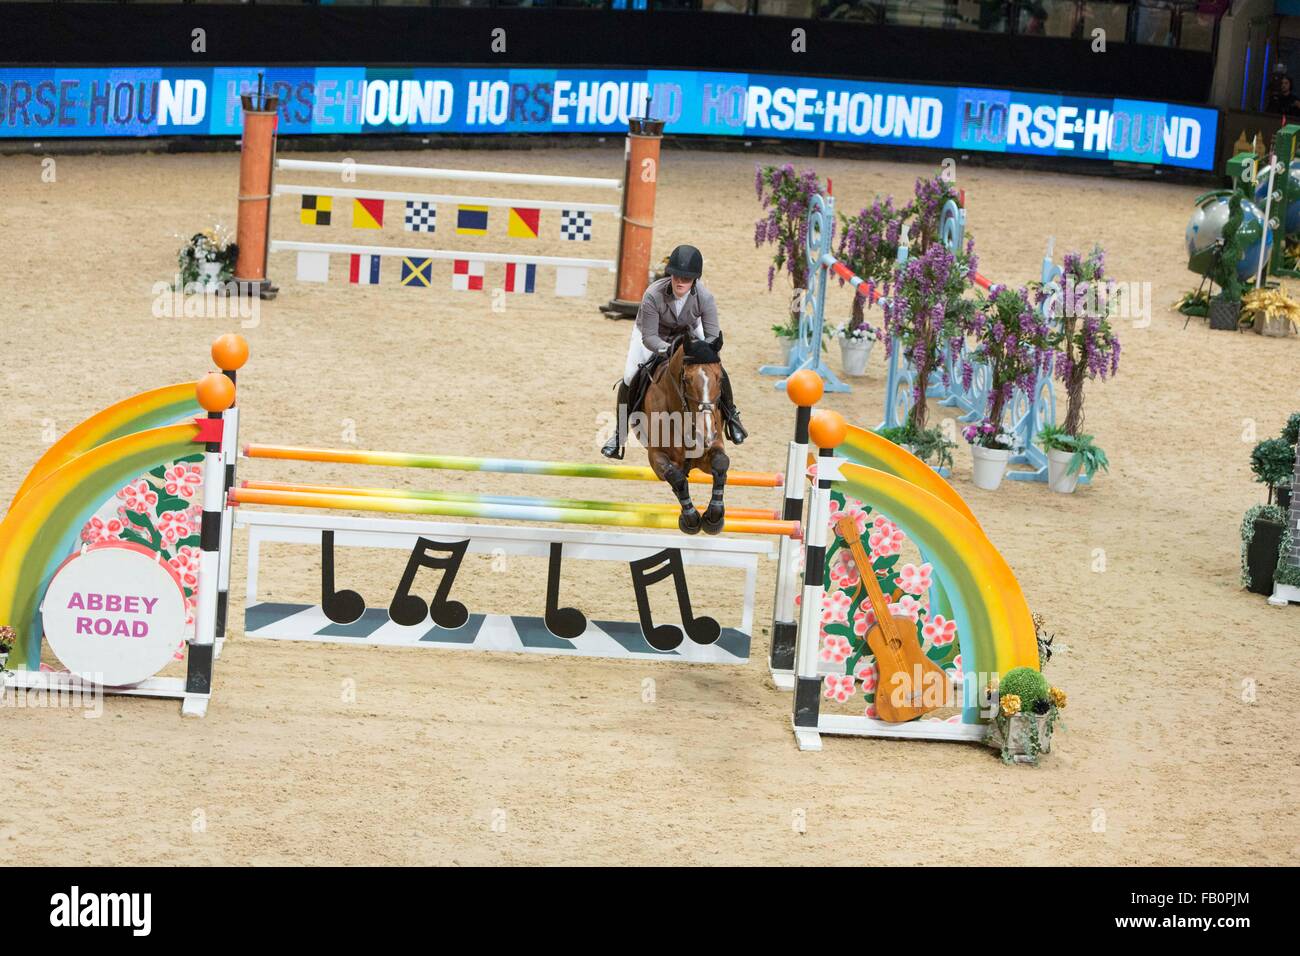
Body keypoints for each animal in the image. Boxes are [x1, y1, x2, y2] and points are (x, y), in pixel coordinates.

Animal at [635, 334, 730, 535]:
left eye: (720, 379)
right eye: (686, 379)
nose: (706, 432)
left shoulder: (710, 451)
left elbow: (721, 464)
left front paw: (714, 517)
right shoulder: (657, 457)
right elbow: (676, 478)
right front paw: (691, 519)